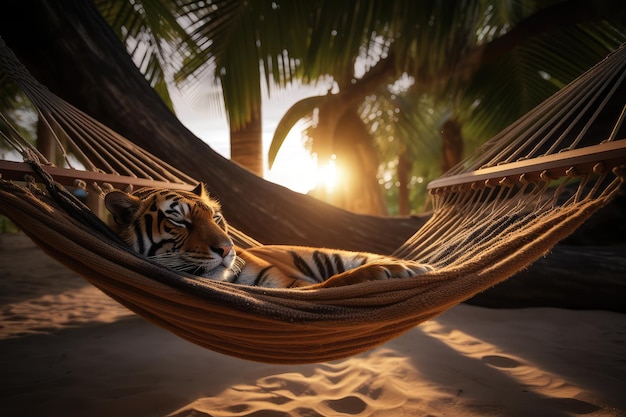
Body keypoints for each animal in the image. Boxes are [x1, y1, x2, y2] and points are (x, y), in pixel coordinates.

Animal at [103, 184, 434, 288]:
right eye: (179, 222)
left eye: (217, 219)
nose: (227, 249)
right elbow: (335, 282)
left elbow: (338, 280)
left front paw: (389, 272)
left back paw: (414, 266)